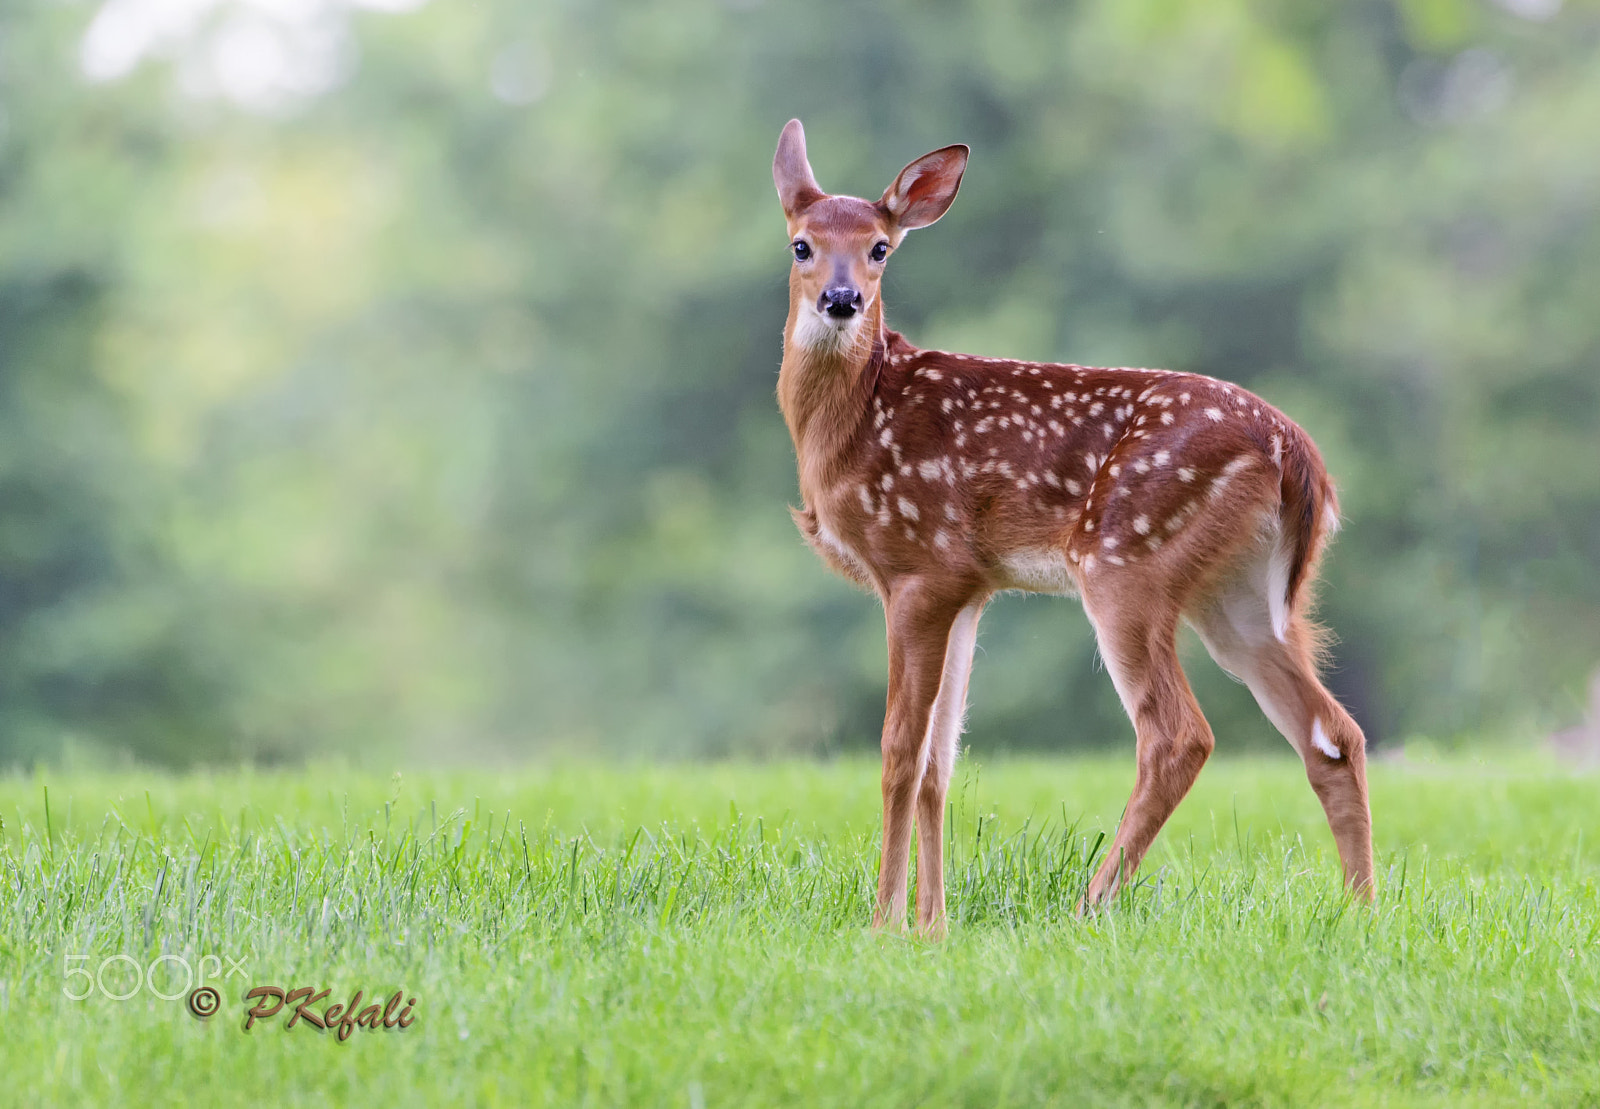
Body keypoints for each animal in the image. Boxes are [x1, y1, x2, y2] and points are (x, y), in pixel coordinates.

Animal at [771, 119, 1374, 936]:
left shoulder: (919, 565)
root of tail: (1295, 451)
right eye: (802, 244)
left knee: (1178, 734)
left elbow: (901, 748)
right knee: (1334, 734)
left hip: (1127, 559)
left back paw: (1090, 906)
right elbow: (940, 761)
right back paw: (1362, 908)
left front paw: (885, 925)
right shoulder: (971, 586)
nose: (842, 299)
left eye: (880, 247)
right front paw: (933, 925)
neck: (855, 422)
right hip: (1241, 596)